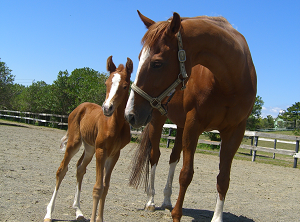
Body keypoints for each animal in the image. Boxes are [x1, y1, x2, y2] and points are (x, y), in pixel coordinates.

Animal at [44, 56, 133, 222]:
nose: (107, 108)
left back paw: (78, 211)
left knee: (80, 168)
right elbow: (98, 188)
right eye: (106, 83)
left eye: (125, 86)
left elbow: (106, 187)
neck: (114, 125)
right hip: (75, 143)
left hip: (89, 148)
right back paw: (49, 213)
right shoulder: (101, 150)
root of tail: (80, 106)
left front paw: (99, 218)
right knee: (61, 170)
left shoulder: (114, 154)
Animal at [125, 11, 256, 222]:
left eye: (157, 63)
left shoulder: (235, 132)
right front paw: (177, 215)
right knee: (155, 157)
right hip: (157, 120)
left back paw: (167, 200)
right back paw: (151, 201)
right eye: (139, 58)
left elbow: (223, 178)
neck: (229, 82)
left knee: (173, 157)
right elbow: (186, 174)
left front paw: (217, 218)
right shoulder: (194, 125)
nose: (130, 114)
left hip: (180, 125)